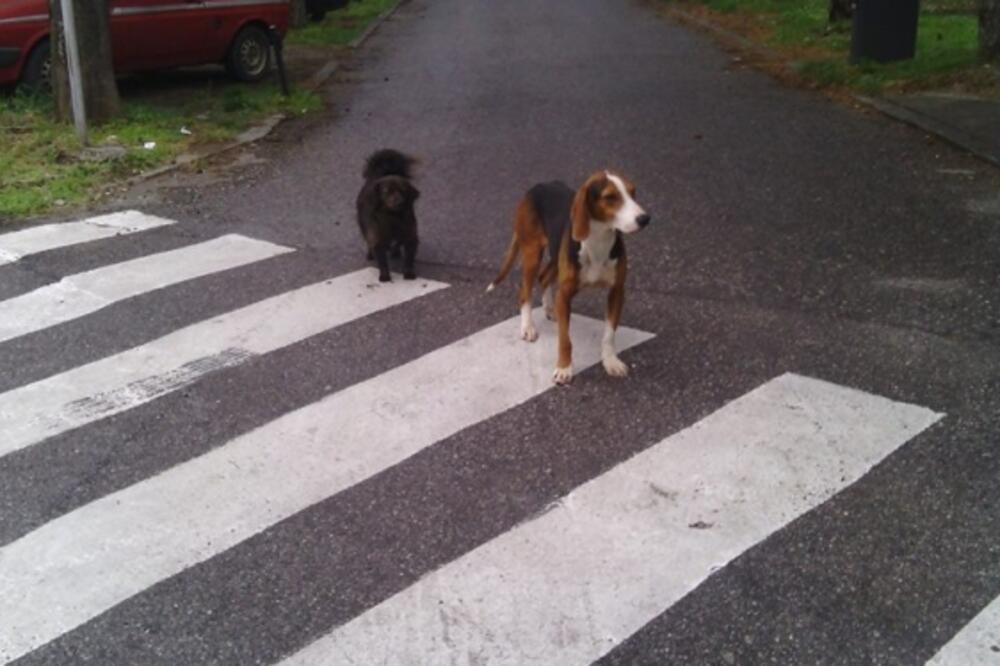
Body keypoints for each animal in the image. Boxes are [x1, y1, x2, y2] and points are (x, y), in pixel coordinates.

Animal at [358, 148, 420, 280]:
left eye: (403, 191)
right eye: (386, 192)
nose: (399, 202)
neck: (392, 217)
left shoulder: (410, 235)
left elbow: (409, 258)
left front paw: (409, 273)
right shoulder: (377, 237)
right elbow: (382, 260)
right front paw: (385, 276)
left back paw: (395, 251)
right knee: (369, 241)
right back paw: (371, 253)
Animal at [488, 171, 652, 384]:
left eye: (633, 192)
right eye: (610, 197)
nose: (645, 218)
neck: (598, 241)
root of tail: (538, 186)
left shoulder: (617, 291)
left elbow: (609, 335)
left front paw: (610, 362)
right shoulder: (565, 294)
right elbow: (565, 340)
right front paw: (564, 368)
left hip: (555, 255)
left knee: (543, 277)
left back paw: (550, 308)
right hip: (532, 252)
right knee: (525, 290)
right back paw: (528, 327)